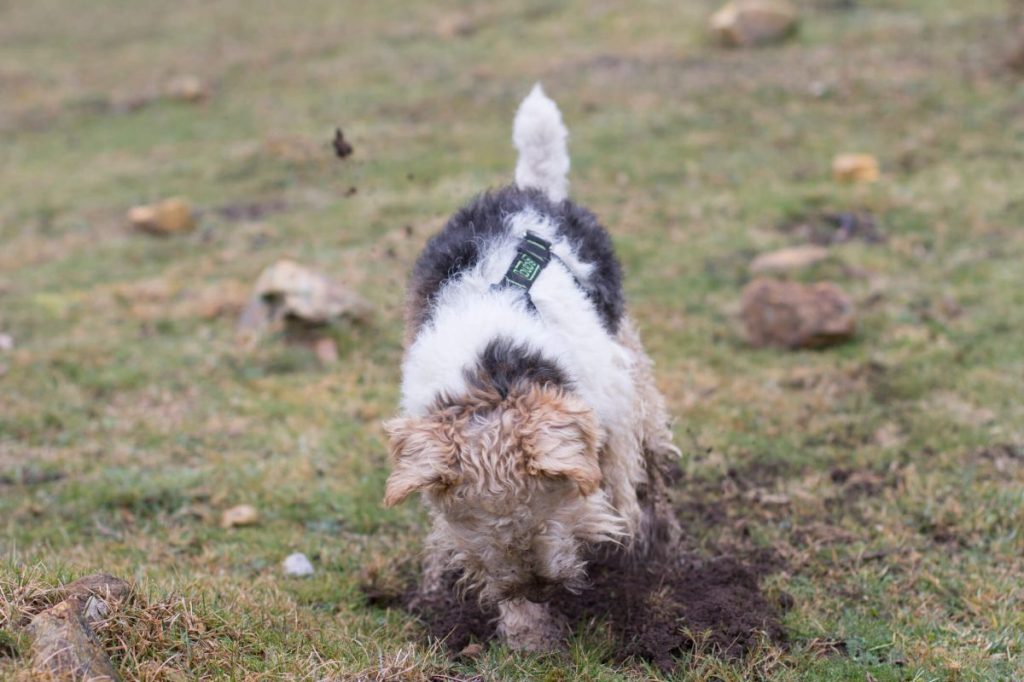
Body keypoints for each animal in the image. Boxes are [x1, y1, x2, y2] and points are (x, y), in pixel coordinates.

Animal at [385, 84, 679, 647]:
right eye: (476, 524)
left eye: (547, 505)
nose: (540, 590)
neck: (491, 370)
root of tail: (531, 192)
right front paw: (529, 636)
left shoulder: (608, 412)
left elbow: (617, 483)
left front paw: (626, 551)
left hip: (631, 362)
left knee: (653, 454)